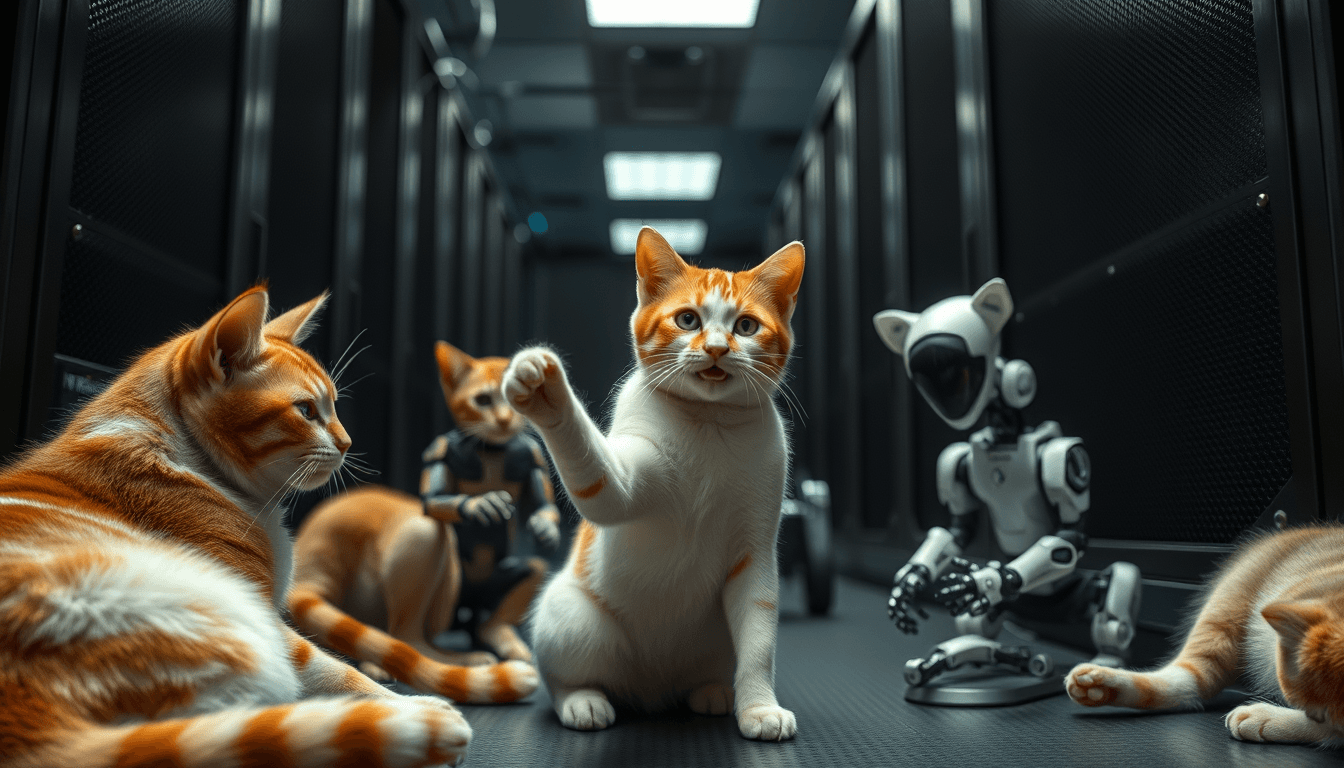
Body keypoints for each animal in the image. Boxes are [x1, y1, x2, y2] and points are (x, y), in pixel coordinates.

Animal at [0, 286, 473, 768]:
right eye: (306, 411)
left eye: (334, 407)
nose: (347, 443)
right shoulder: (269, 618)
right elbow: (340, 673)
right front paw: (408, 706)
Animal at [870, 278, 1145, 704]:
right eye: (927, 377)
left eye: (959, 371)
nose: (950, 406)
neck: (1003, 434)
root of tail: (1039, 610)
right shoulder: (954, 460)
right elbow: (956, 529)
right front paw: (910, 585)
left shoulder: (1065, 458)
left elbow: (1070, 534)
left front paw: (985, 579)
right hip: (1006, 611)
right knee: (976, 625)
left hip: (1069, 594)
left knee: (1111, 599)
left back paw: (1105, 660)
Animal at [1064, 527, 1344, 747]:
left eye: (1320, 714)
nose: (1320, 718)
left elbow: (1326, 734)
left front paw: (1269, 718)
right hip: (1229, 604)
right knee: (1187, 679)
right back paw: (1100, 684)